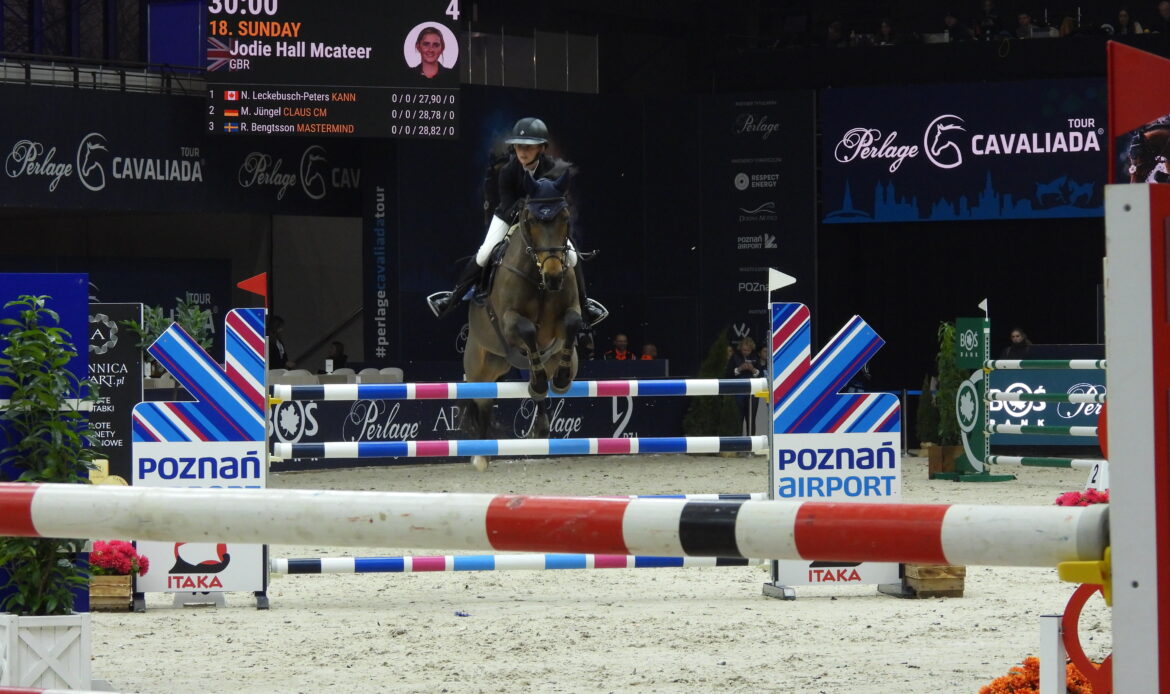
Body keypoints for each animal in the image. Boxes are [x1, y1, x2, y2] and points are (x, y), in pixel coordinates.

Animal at [460, 172, 584, 471]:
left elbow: (572, 322)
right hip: (480, 366)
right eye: (530, 220)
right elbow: (527, 329)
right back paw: (480, 455)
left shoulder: (566, 316)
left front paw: (560, 379)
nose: (554, 277)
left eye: (565, 217)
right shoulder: (508, 322)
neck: (539, 279)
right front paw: (539, 382)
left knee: (540, 390)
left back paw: (541, 423)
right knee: (482, 400)